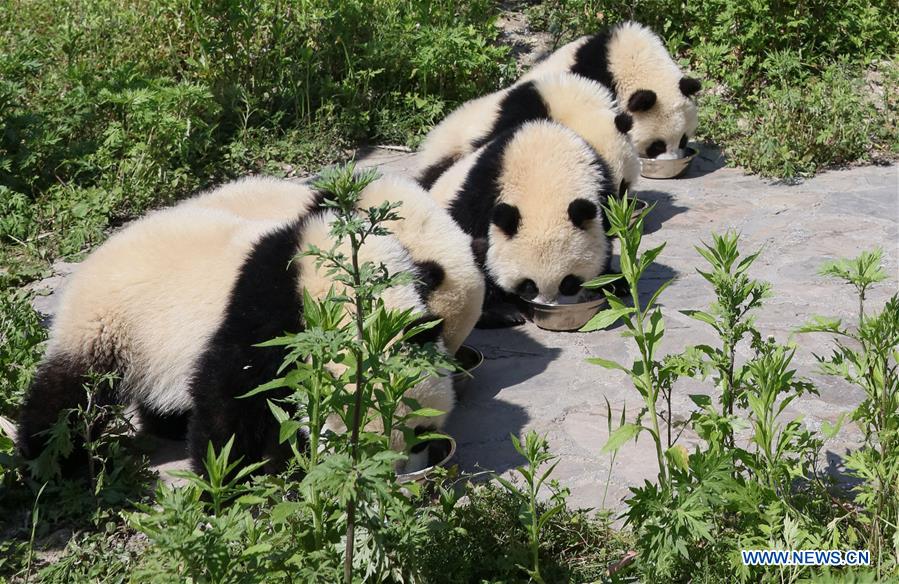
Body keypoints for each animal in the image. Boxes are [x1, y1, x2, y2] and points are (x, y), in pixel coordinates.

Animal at [17, 190, 455, 476]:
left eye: (423, 432)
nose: (401, 471)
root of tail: (93, 258)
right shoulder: (266, 313)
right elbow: (231, 396)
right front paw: (229, 477)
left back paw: (167, 424)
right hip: (108, 323)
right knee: (69, 394)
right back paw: (49, 459)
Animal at [429, 120, 615, 328]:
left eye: (568, 282)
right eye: (528, 285)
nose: (548, 305)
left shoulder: (602, 186)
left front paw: (611, 280)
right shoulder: (483, 193)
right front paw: (498, 311)